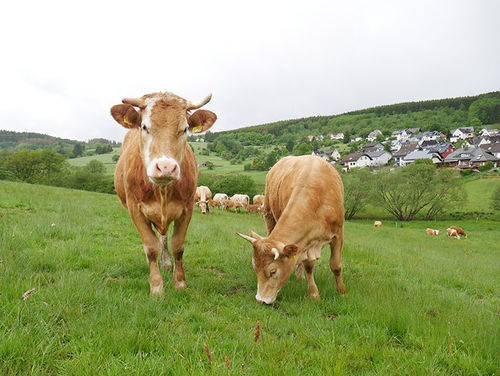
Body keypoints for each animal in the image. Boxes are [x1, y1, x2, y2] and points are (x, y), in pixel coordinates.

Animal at [110, 92, 216, 296]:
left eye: (185, 129)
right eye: (144, 126)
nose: (166, 167)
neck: (162, 192)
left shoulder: (187, 208)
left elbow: (177, 246)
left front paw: (180, 282)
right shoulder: (135, 208)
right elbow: (150, 247)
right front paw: (157, 287)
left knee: (163, 237)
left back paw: (166, 263)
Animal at [236, 154, 346, 304]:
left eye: (273, 271)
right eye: (255, 268)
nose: (260, 300)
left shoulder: (338, 233)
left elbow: (336, 265)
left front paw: (341, 291)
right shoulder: (307, 241)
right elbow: (309, 266)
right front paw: (314, 294)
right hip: (269, 214)